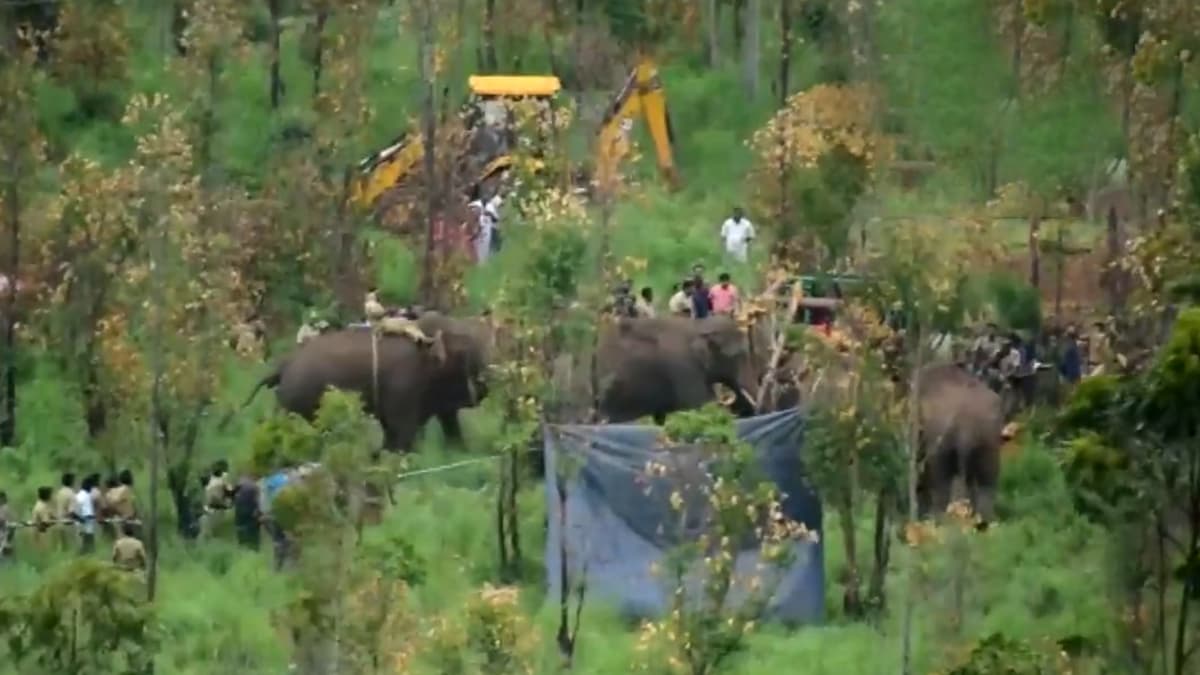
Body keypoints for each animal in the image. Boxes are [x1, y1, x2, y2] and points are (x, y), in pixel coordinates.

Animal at [229, 312, 492, 451]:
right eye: (467, 354)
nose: (484, 387)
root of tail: (282, 366)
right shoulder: (403, 388)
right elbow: (403, 430)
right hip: (295, 403)